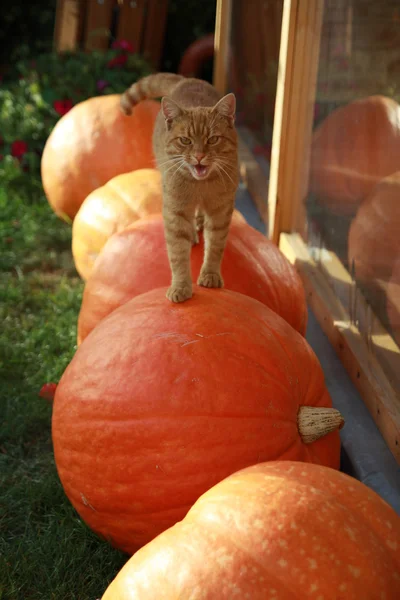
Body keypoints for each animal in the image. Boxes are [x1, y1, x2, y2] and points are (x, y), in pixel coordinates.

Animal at [119, 72, 238, 302]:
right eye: (185, 140)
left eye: (213, 139)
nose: (199, 156)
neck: (200, 186)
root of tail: (186, 80)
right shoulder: (175, 213)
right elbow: (178, 255)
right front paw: (180, 287)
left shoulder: (220, 212)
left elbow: (215, 245)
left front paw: (210, 275)